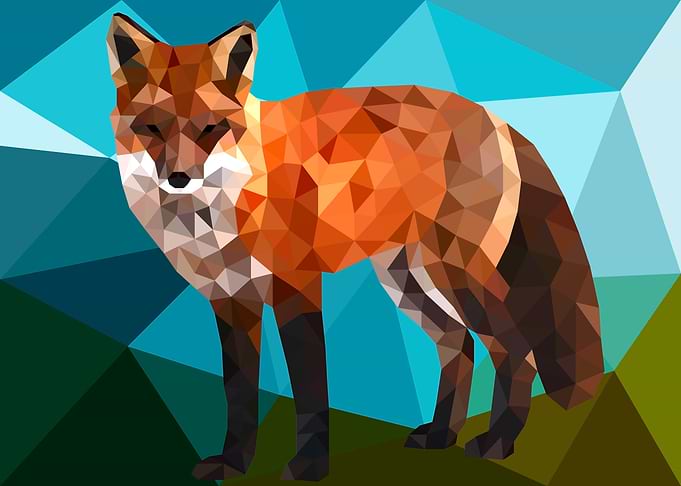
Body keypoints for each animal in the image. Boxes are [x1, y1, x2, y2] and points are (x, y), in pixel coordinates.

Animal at [106, 13, 604, 481]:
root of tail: (495, 118)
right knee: (458, 346)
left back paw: (498, 441)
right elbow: (239, 395)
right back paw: (442, 435)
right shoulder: (231, 301)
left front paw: (309, 466)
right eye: (152, 128)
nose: (178, 178)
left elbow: (311, 391)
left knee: (515, 352)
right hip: (410, 283)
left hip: (459, 278)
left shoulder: (298, 288)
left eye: (211, 128)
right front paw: (234, 464)